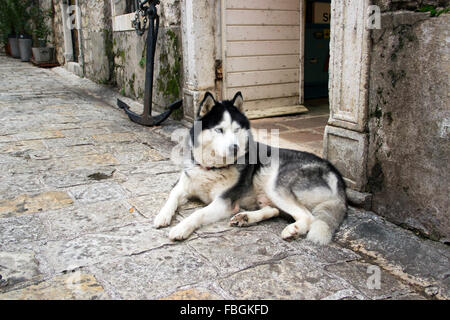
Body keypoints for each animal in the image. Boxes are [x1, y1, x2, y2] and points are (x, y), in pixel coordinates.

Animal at [155, 91, 348, 244]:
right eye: (219, 130)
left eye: (237, 130)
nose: (234, 147)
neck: (212, 168)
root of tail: (337, 177)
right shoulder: (183, 185)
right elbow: (172, 197)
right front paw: (162, 216)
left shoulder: (224, 202)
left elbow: (198, 214)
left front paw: (181, 228)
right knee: (273, 209)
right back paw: (246, 218)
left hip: (276, 185)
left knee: (308, 216)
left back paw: (292, 229)